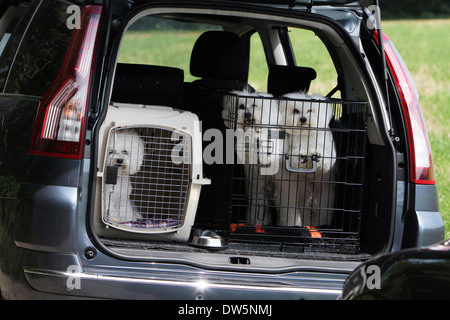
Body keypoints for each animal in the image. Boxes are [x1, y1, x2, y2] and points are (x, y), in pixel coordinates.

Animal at [274, 92, 338, 228]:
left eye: (309, 110)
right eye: (296, 111)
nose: (303, 119)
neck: (305, 133)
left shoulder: (327, 150)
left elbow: (325, 159)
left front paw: (317, 156)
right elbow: (295, 158)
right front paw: (303, 156)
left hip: (324, 197)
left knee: (321, 213)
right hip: (290, 196)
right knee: (290, 212)